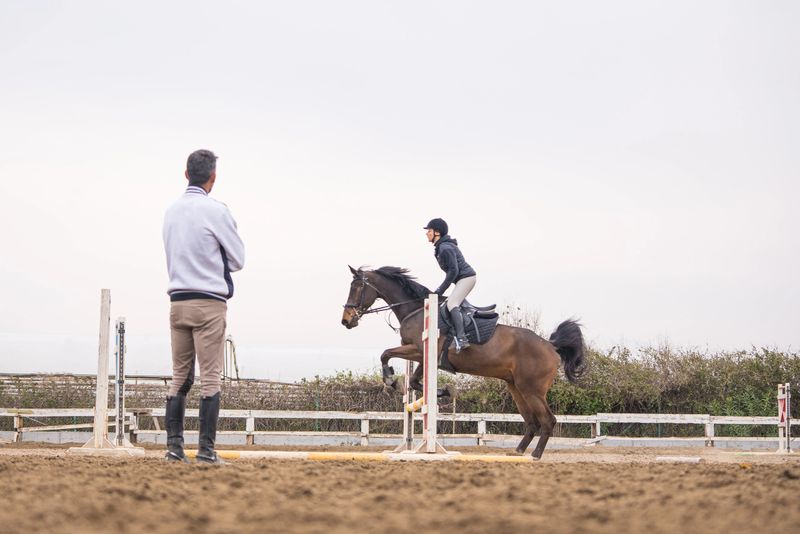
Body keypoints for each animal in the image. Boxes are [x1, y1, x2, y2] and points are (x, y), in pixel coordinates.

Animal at [341, 265, 586, 459]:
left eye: (357, 288)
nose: (346, 321)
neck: (415, 309)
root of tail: (551, 346)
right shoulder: (423, 357)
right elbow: (414, 382)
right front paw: (443, 391)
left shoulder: (418, 350)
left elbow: (386, 354)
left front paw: (390, 379)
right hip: (516, 387)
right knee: (532, 421)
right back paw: (518, 452)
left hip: (531, 389)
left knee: (548, 420)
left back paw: (535, 455)